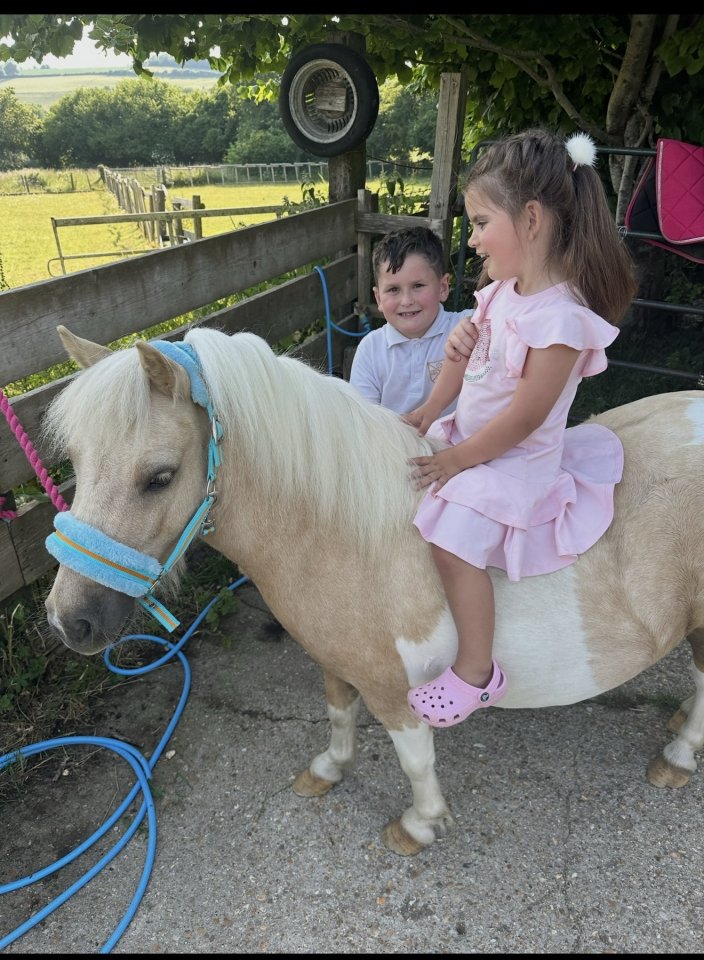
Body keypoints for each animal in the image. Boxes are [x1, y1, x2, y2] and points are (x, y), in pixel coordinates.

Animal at [42, 323, 704, 857]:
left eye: (160, 477)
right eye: (76, 460)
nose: (71, 620)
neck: (348, 536)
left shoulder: (395, 688)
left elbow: (415, 760)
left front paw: (419, 825)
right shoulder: (336, 658)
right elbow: (339, 713)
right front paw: (328, 770)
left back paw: (677, 756)